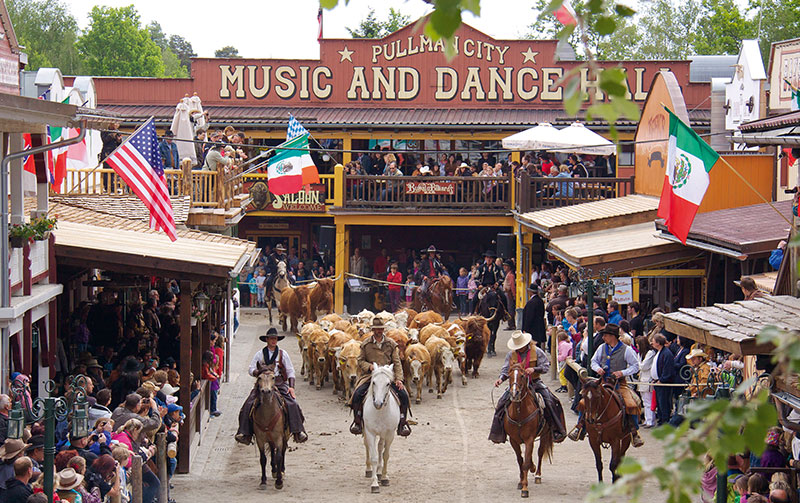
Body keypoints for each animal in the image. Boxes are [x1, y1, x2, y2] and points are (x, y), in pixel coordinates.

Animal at [362, 364, 400, 494]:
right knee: (367, 446)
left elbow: (385, 455)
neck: (380, 412)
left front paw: (384, 477)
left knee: (380, 447)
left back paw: (379, 473)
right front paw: (374, 484)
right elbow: (373, 457)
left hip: (383, 434)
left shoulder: (390, 434)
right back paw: (369, 470)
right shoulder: (370, 433)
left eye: (388, 384)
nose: (378, 403)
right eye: (373, 382)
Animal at [504, 364, 552, 498]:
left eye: (522, 375)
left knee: (540, 453)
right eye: (509, 376)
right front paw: (521, 482)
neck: (519, 413)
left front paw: (525, 488)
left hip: (545, 435)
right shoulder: (514, 440)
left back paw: (538, 475)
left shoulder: (529, 439)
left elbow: (525, 462)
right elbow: (521, 460)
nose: (514, 393)